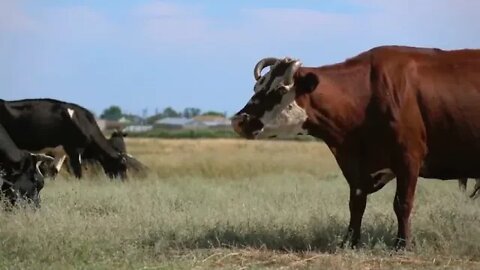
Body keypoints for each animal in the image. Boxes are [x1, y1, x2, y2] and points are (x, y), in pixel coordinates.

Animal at [231, 46, 480, 249]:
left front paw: (402, 244)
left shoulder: (409, 159)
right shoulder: (357, 168)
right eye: (257, 87)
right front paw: (349, 241)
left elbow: (402, 204)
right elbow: (356, 204)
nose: (239, 120)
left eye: (281, 90)